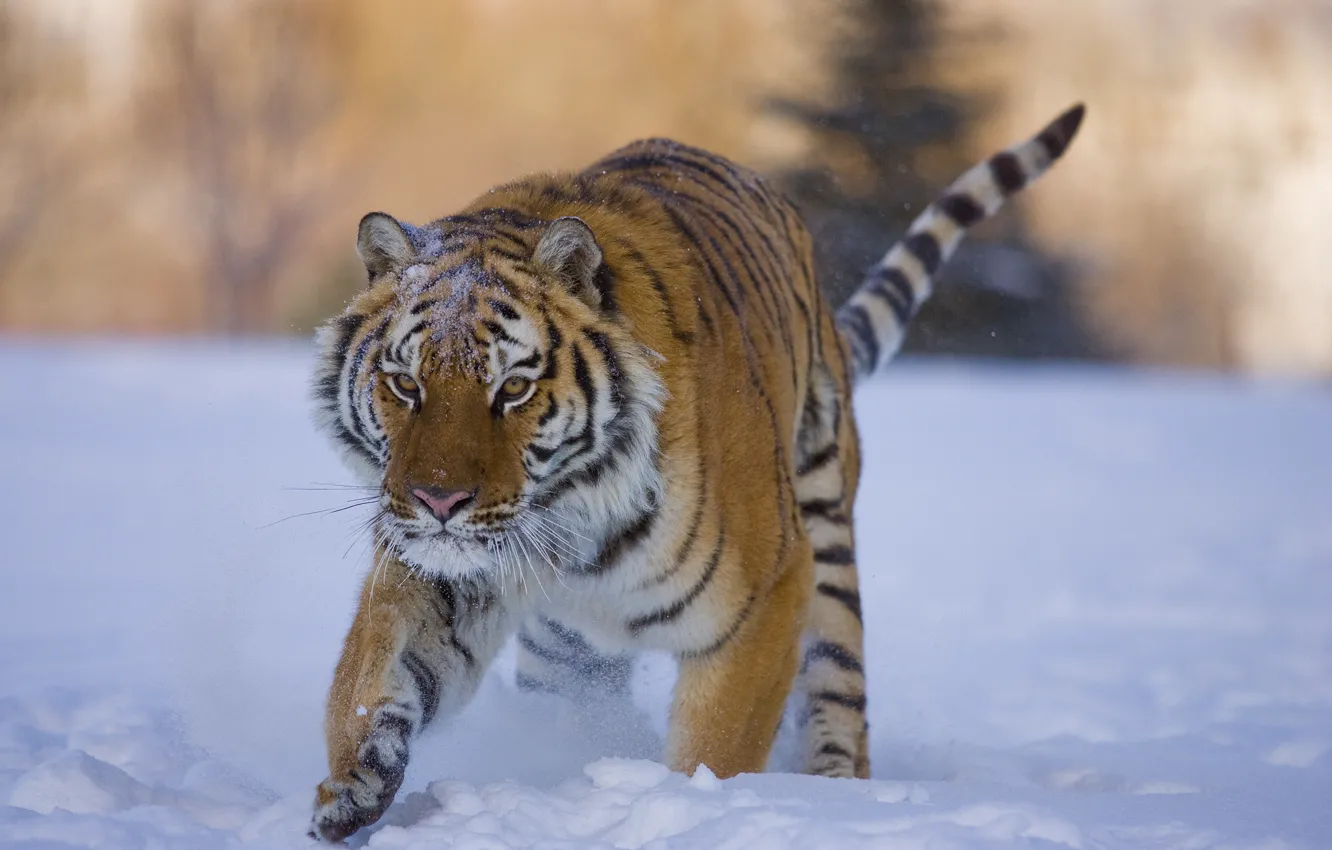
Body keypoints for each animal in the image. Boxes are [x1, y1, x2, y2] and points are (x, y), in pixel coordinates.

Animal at [307, 103, 1085, 842]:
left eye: (514, 389)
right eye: (406, 384)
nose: (438, 499)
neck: (571, 516)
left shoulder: (763, 595)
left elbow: (719, 748)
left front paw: (699, 812)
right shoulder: (440, 564)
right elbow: (371, 663)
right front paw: (350, 785)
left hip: (827, 542)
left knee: (839, 696)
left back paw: (834, 801)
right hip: (566, 655)